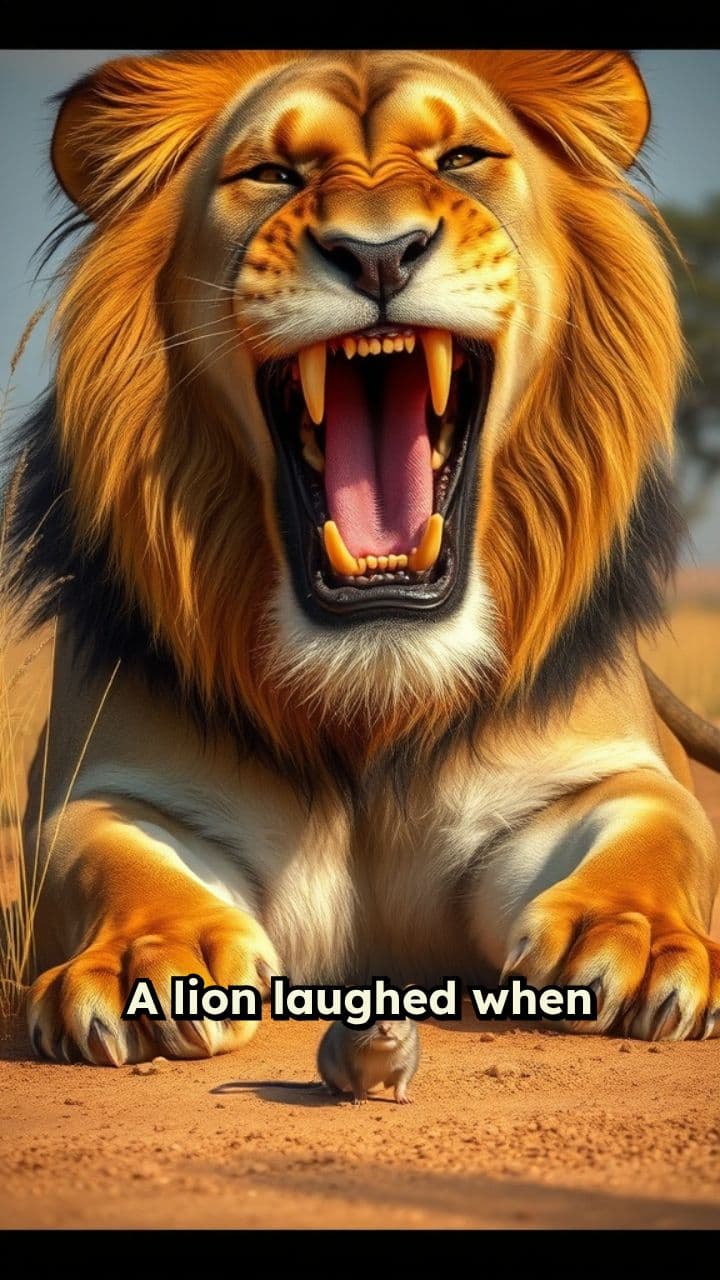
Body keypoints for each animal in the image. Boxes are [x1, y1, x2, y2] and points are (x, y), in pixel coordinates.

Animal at [6, 48, 720, 1065]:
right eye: (272, 174)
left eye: (462, 158)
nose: (379, 253)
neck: (373, 689)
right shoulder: (113, 788)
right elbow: (103, 853)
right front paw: (149, 959)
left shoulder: (592, 774)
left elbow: (660, 826)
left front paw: (637, 939)